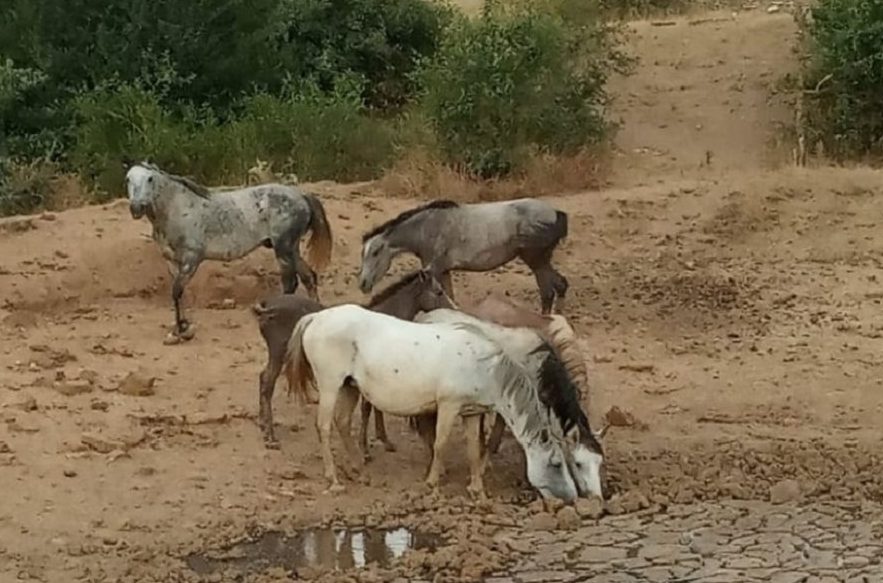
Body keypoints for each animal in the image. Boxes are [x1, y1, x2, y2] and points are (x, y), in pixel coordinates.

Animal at [286, 306, 584, 502]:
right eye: (557, 464)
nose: (572, 498)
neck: (483, 365)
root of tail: (316, 317)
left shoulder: (471, 413)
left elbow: (474, 449)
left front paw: (477, 490)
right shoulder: (449, 406)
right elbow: (440, 443)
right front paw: (432, 482)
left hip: (350, 387)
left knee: (343, 423)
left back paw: (359, 471)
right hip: (330, 384)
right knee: (324, 426)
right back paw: (334, 479)